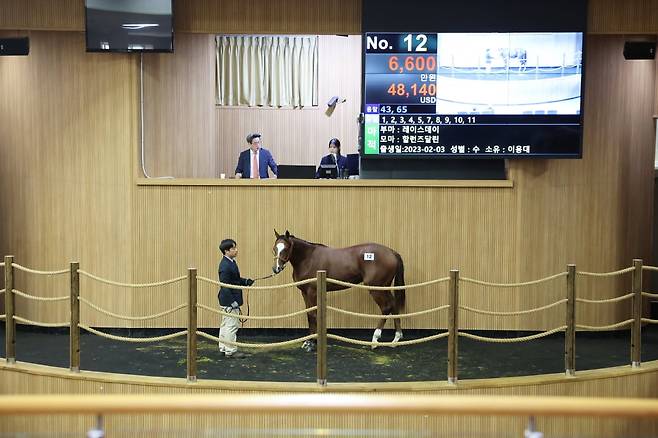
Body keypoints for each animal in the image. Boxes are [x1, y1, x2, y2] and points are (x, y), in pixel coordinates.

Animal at [270, 231, 402, 350]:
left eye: (286, 248)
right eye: (274, 248)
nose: (276, 268)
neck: (308, 258)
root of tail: (392, 252)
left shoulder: (312, 292)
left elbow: (313, 315)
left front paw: (312, 343)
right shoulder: (304, 292)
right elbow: (309, 314)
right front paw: (308, 342)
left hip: (376, 288)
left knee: (386, 307)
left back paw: (375, 340)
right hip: (385, 287)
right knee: (394, 305)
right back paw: (396, 339)